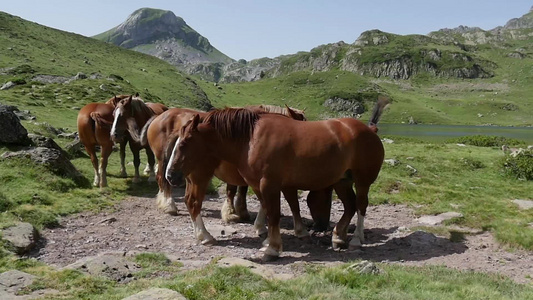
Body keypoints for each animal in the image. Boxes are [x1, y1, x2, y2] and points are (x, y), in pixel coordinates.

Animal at [166, 97, 386, 258]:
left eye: (184, 143)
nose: (170, 175)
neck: (251, 138)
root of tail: (370, 131)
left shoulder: (269, 184)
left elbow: (273, 213)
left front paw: (271, 247)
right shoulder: (260, 185)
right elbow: (272, 210)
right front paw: (271, 241)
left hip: (362, 180)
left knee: (360, 205)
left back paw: (356, 238)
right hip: (342, 181)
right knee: (350, 205)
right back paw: (338, 237)